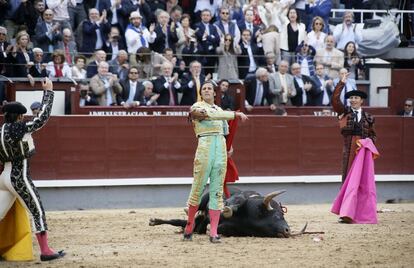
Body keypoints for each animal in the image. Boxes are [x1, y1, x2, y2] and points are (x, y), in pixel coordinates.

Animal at [149, 189, 308, 238]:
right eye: (277, 215)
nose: (287, 231)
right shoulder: (243, 197)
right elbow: (238, 200)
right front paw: (226, 208)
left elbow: (221, 228)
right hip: (205, 197)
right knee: (192, 212)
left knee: (191, 223)